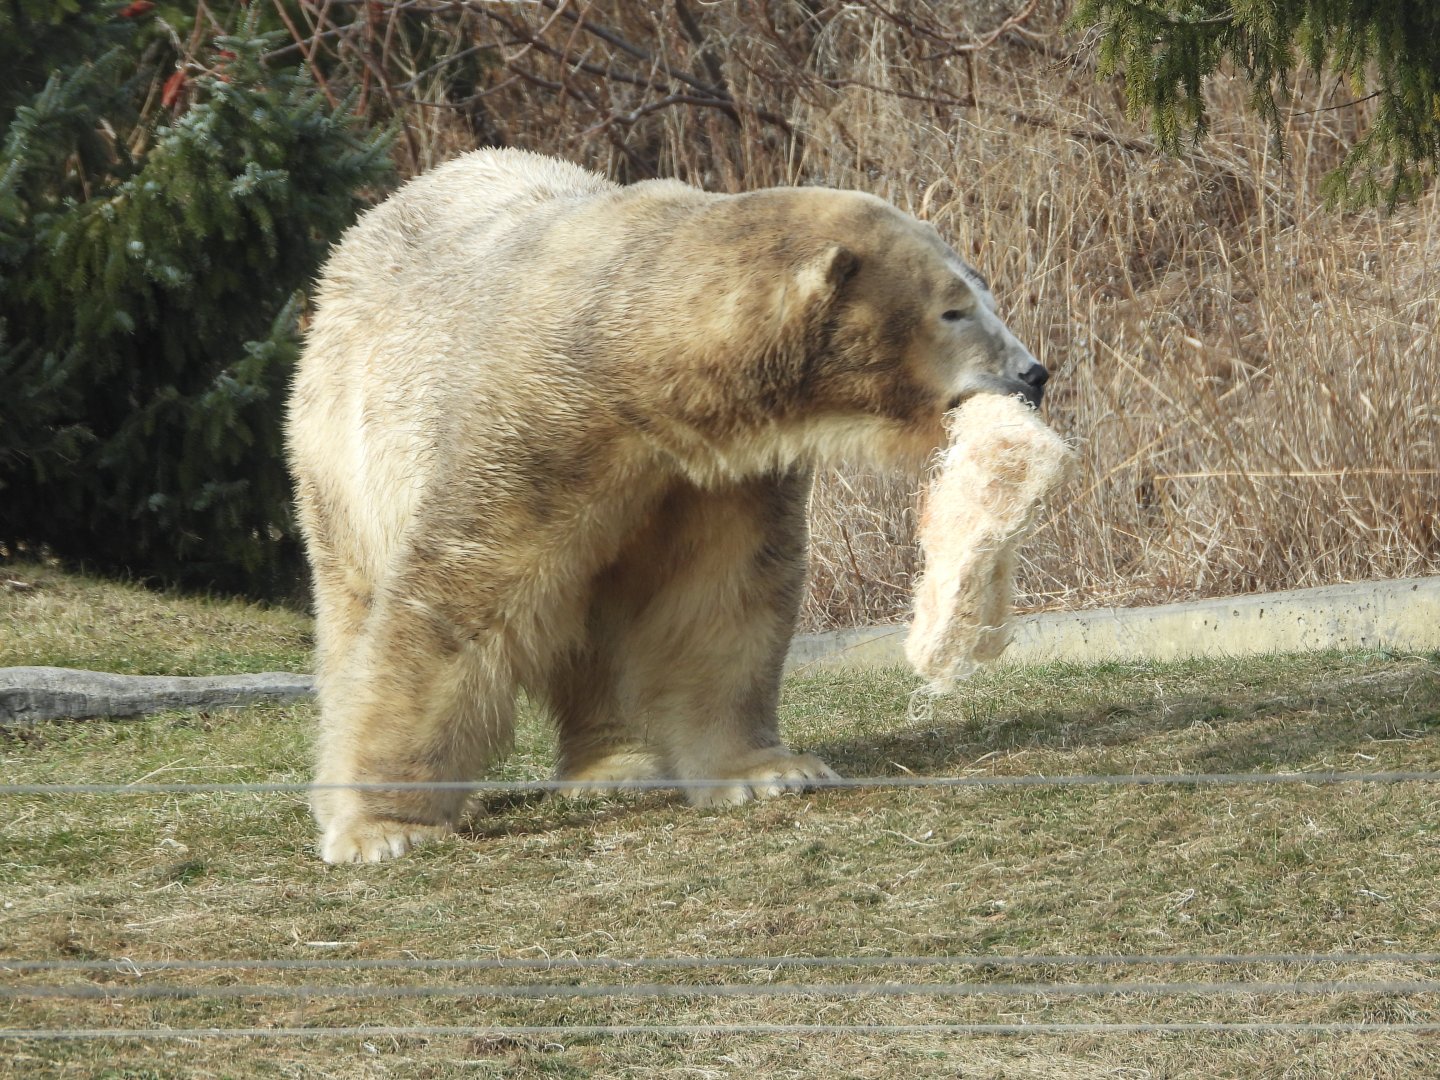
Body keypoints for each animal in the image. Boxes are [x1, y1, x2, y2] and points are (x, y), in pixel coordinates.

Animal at [285, 148, 1049, 863]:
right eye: (953, 309)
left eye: (978, 293)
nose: (1034, 373)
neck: (634, 358)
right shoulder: (535, 424)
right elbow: (455, 607)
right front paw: (381, 828)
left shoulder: (716, 473)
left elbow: (716, 597)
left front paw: (769, 771)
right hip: (340, 455)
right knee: (358, 601)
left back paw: (619, 765)